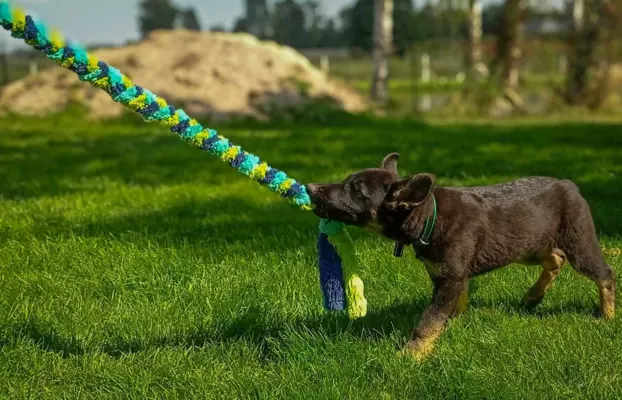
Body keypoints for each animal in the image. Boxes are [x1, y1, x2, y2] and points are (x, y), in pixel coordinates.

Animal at [304, 152, 616, 360]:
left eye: (355, 189)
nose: (310, 188)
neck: (428, 215)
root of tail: (569, 185)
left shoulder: (450, 278)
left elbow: (427, 320)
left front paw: (411, 355)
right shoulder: (450, 276)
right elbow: (451, 309)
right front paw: (452, 325)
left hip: (579, 243)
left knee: (604, 275)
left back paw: (607, 316)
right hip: (526, 246)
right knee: (554, 259)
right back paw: (532, 296)